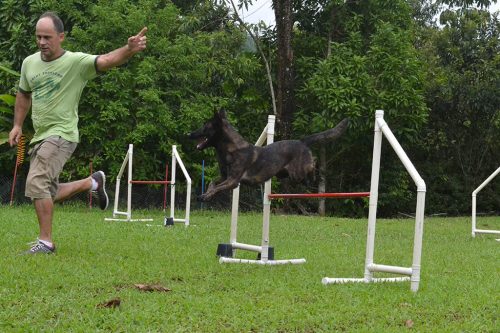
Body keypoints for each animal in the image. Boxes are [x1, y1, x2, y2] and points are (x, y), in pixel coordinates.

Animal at [188, 110, 348, 201]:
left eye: (205, 126)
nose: (189, 134)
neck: (231, 149)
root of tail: (302, 141)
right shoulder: (225, 177)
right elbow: (212, 183)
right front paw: (205, 194)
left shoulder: (232, 181)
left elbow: (218, 187)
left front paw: (206, 196)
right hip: (286, 174)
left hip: (298, 173)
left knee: (313, 163)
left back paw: (315, 173)